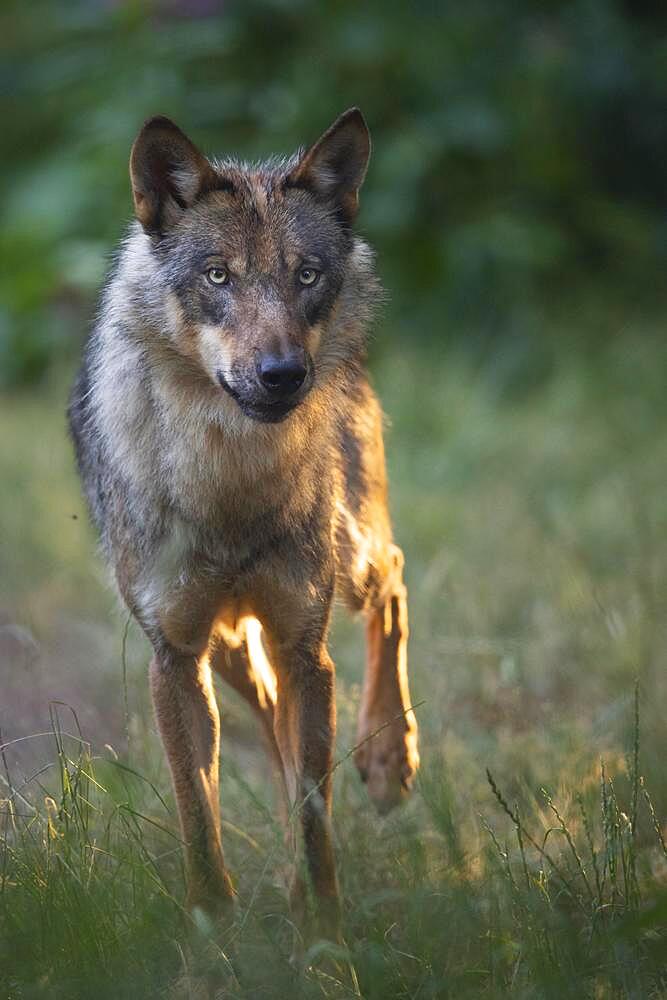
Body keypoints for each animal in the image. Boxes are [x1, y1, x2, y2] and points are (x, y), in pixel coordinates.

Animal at [69, 111, 422, 944]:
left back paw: (391, 760)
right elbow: (199, 809)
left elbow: (315, 813)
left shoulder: (305, 649)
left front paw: (324, 937)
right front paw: (212, 927)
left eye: (305, 277)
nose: (282, 374)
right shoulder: (175, 658)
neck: (229, 482)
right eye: (218, 277)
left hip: (349, 562)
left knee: (394, 579)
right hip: (231, 651)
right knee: (273, 732)